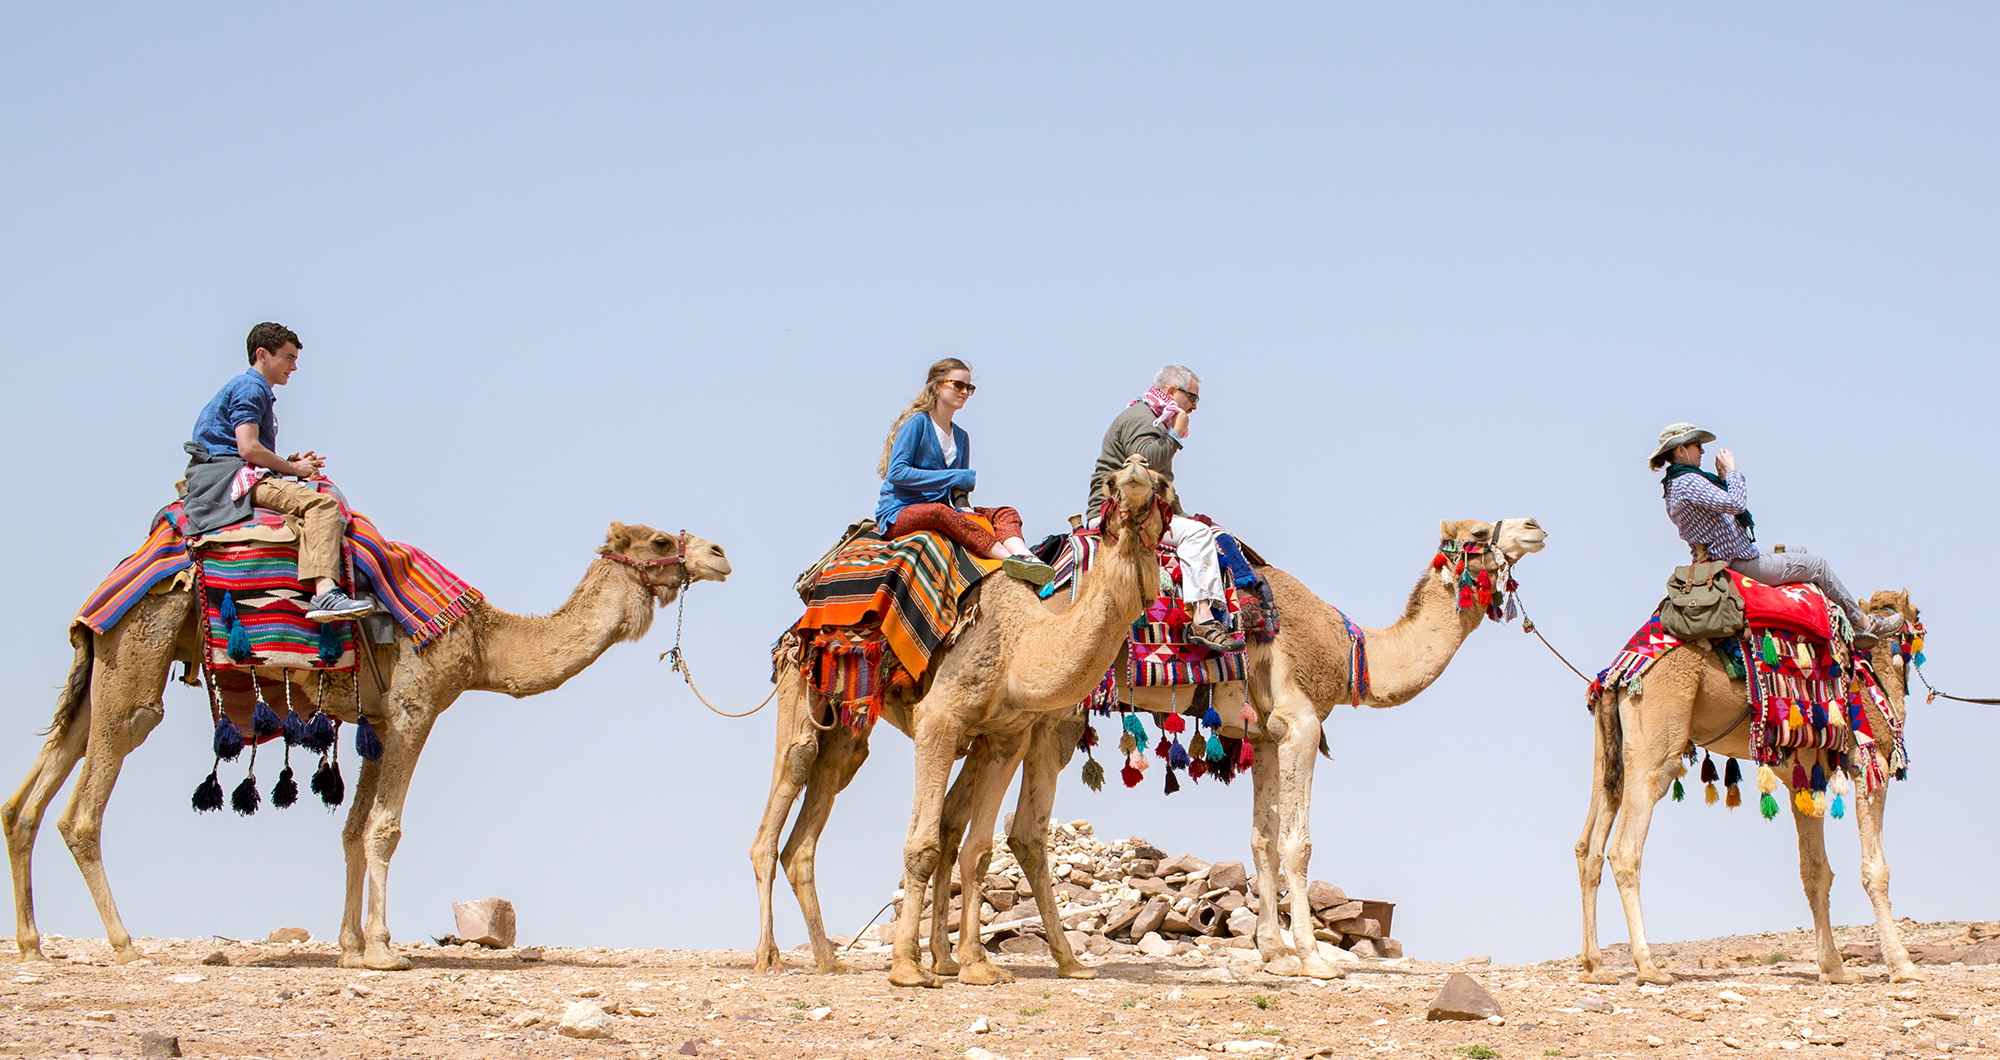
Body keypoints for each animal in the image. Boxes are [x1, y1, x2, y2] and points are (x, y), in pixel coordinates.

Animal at [5, 520, 728, 964]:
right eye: (660, 537)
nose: (720, 554)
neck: (482, 642)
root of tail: (105, 590)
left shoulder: (376, 723)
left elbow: (352, 830)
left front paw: (351, 948)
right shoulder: (414, 707)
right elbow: (385, 828)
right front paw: (383, 949)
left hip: (100, 666)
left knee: (31, 793)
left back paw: (35, 943)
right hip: (139, 653)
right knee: (85, 804)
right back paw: (125, 944)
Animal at [748, 454, 1168, 980]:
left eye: (1164, 487)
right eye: (1111, 484)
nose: (1133, 472)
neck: (1021, 644)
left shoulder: (1007, 736)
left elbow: (980, 847)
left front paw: (975, 964)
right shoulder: (941, 720)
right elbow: (926, 843)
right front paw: (909, 968)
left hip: (848, 726)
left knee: (818, 807)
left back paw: (829, 959)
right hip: (798, 674)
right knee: (792, 773)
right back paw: (767, 956)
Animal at [1568, 584, 1928, 980]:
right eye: (1919, 616)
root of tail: (1619, 673)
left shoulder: (1804, 776)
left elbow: (1814, 871)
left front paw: (1834, 969)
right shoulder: (1869, 760)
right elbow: (1875, 869)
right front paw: (1903, 965)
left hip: (1609, 755)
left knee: (1589, 845)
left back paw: (1594, 964)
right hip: (1656, 741)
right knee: (1624, 849)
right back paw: (1648, 966)